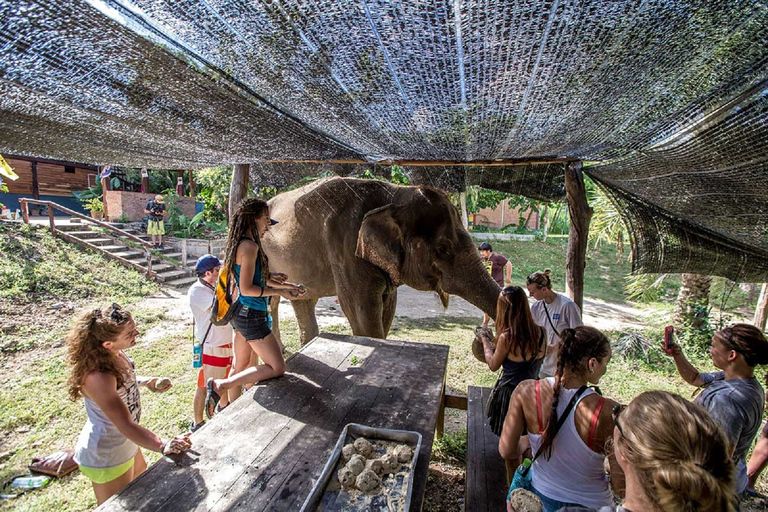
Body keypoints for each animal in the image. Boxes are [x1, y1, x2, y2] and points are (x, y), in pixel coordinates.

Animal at [264, 175, 500, 344]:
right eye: (443, 249)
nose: (482, 334)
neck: (395, 194)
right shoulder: (345, 247)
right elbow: (362, 313)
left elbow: (388, 309)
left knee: (298, 300)